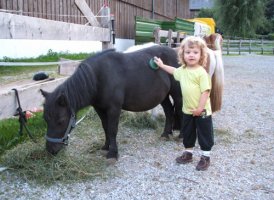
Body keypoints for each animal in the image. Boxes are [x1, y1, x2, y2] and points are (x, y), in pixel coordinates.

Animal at [40, 45, 182, 159]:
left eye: (61, 121)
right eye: (45, 119)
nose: (50, 150)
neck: (98, 78)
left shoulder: (114, 108)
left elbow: (113, 129)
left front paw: (113, 153)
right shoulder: (100, 109)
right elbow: (106, 127)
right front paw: (106, 146)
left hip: (177, 93)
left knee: (180, 110)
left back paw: (180, 136)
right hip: (164, 96)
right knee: (169, 111)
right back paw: (165, 134)